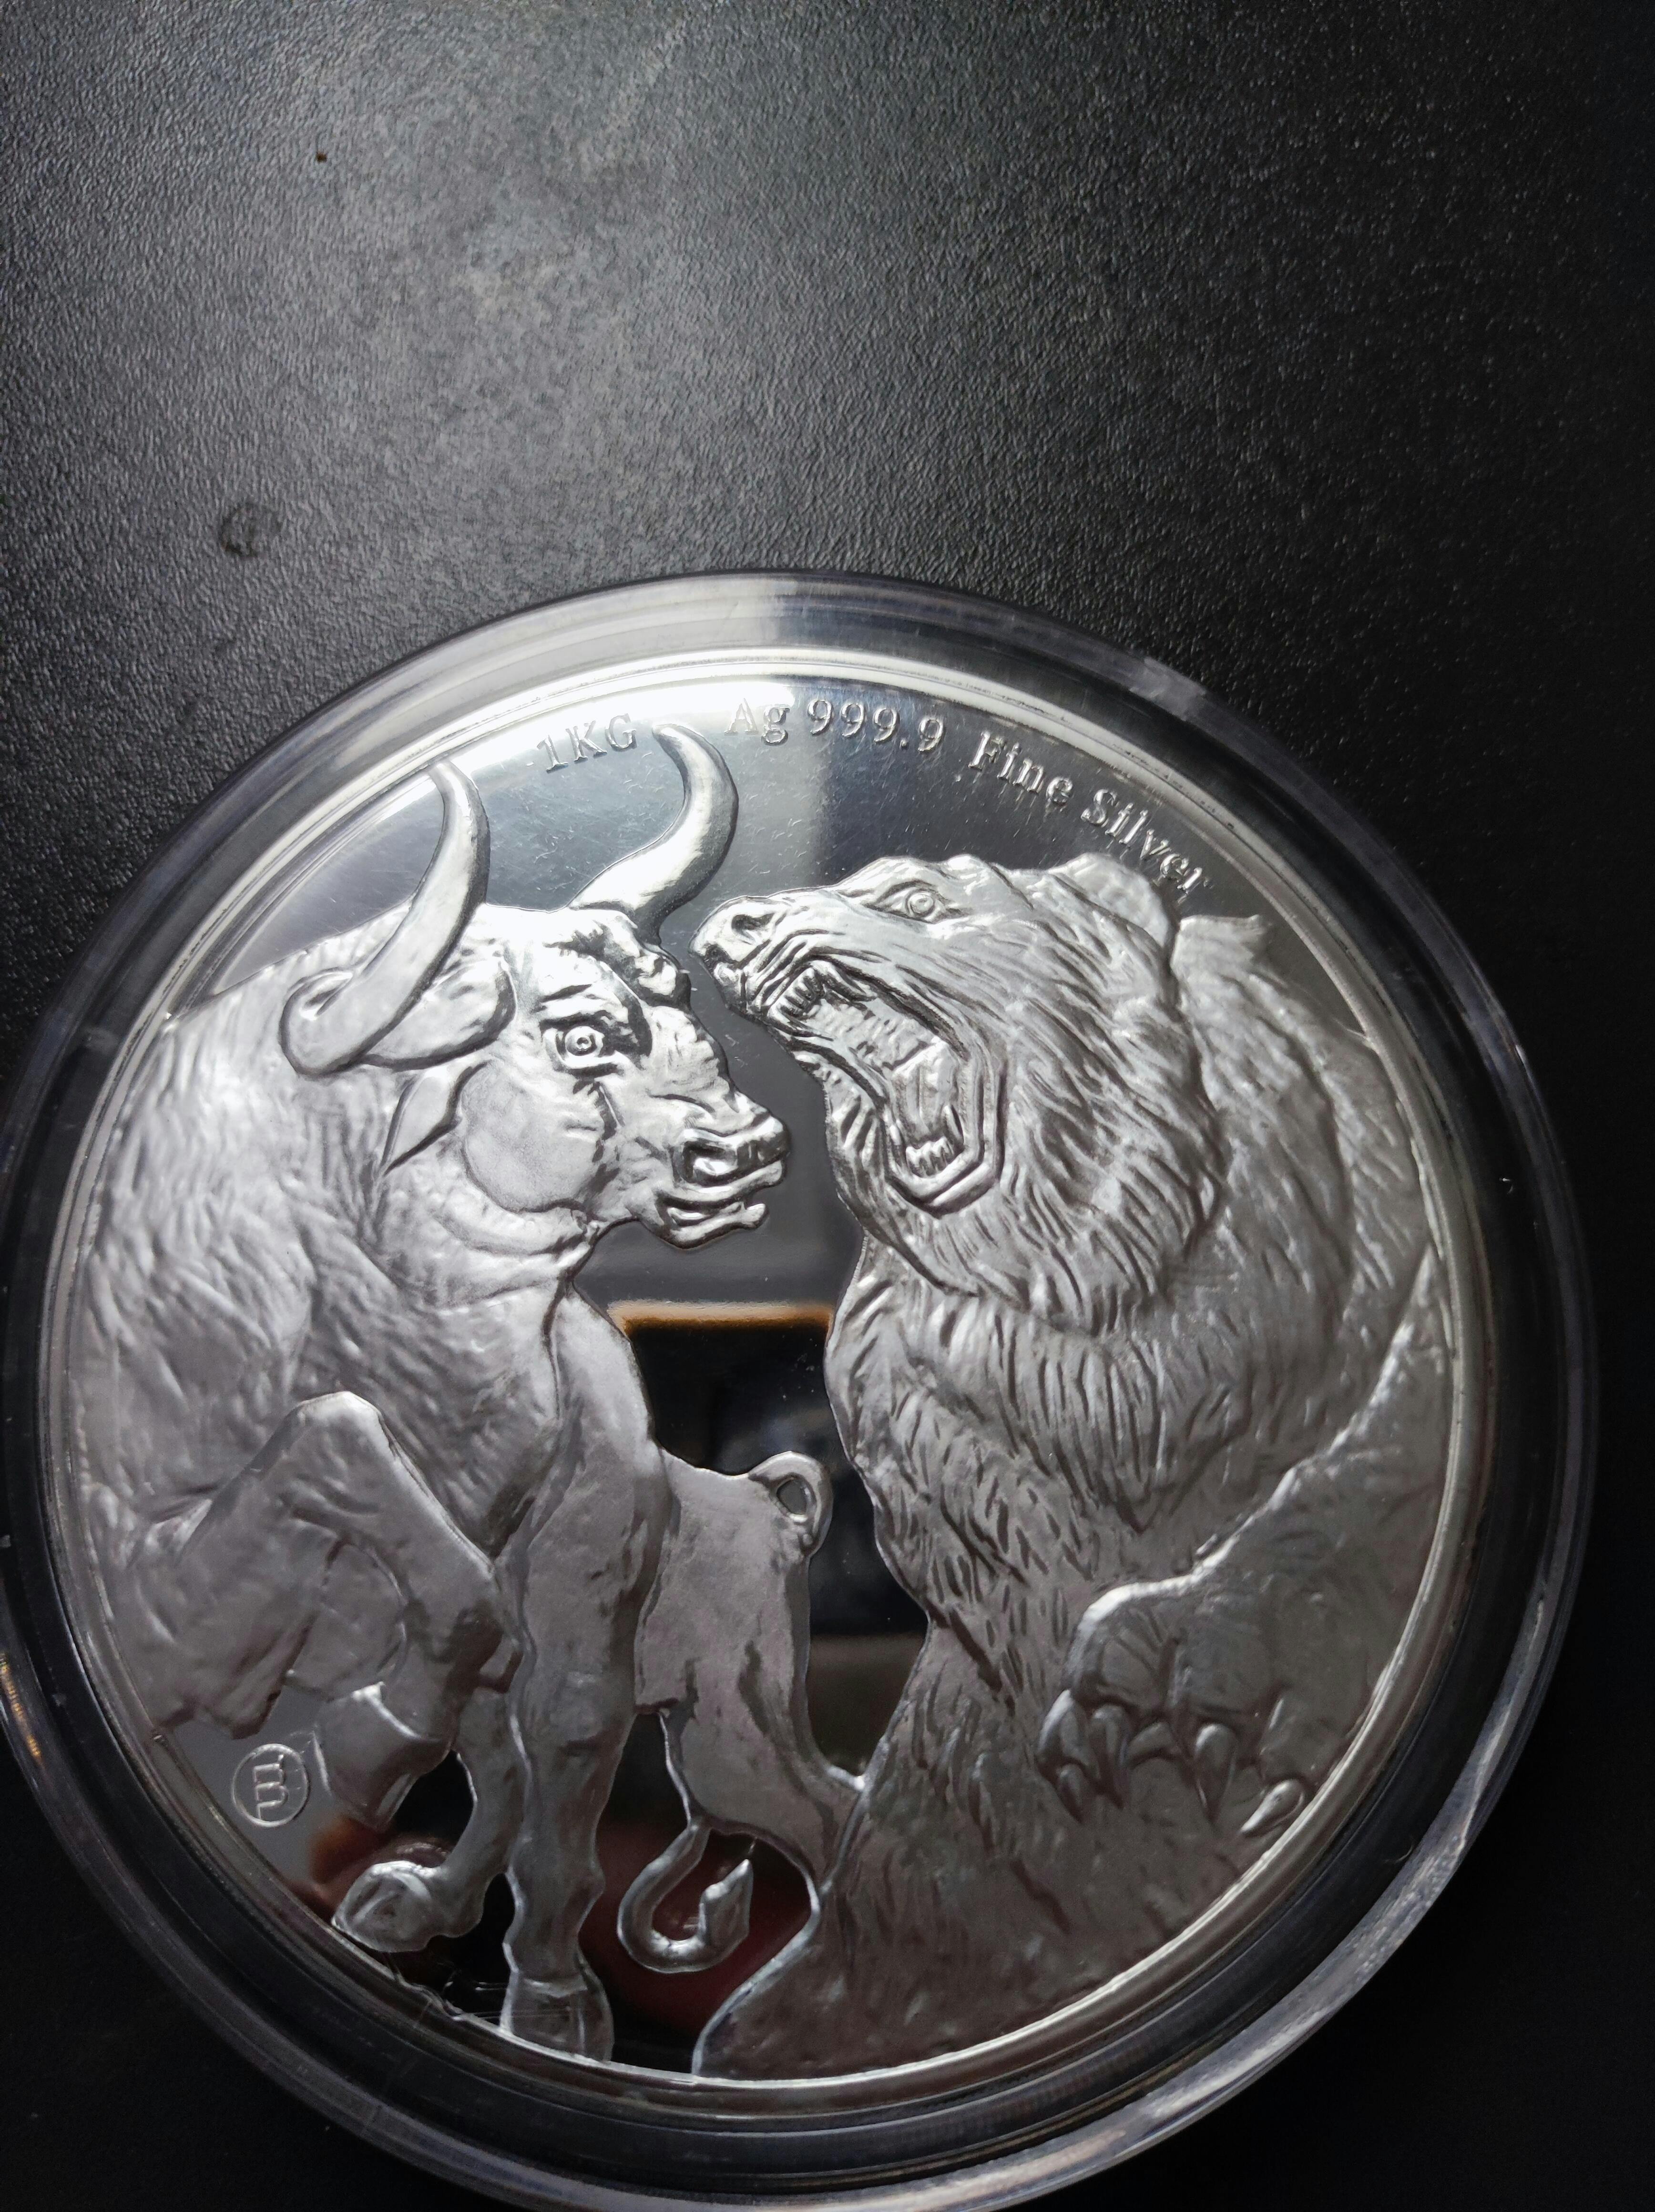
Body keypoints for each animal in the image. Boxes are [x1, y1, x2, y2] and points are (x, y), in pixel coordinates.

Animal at [65, 726, 854, 2058]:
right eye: (581, 1036)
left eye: (681, 1001)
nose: (745, 1150)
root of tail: (769, 1499)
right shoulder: (153, 1585)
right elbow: (343, 1445)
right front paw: (374, 1742)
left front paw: (370, 1748)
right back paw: (427, 1904)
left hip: (715, 1706)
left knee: (768, 1802)